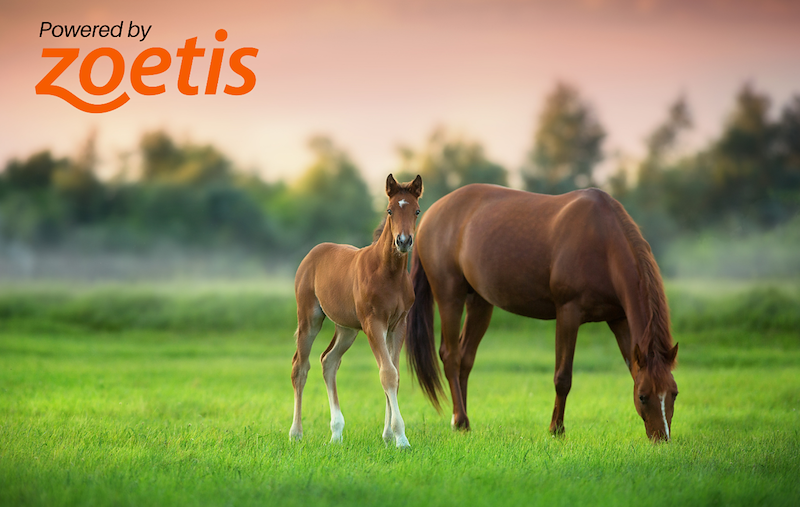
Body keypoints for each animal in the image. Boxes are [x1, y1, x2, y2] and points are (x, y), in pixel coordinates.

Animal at [289, 174, 423, 448]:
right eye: (390, 210)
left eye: (416, 210)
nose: (403, 241)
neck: (388, 273)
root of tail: (313, 252)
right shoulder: (374, 323)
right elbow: (387, 374)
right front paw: (401, 438)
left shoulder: (398, 325)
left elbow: (394, 375)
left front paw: (388, 435)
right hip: (310, 318)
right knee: (300, 367)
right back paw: (296, 433)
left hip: (347, 328)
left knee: (328, 361)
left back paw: (336, 433)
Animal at [405, 184, 679, 441]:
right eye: (643, 397)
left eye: (674, 394)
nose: (661, 438)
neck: (603, 242)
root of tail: (429, 214)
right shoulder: (568, 313)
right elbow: (563, 377)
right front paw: (556, 429)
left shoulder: (619, 319)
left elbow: (631, 369)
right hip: (449, 295)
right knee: (451, 356)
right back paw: (460, 420)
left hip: (480, 302)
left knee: (465, 357)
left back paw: (462, 421)